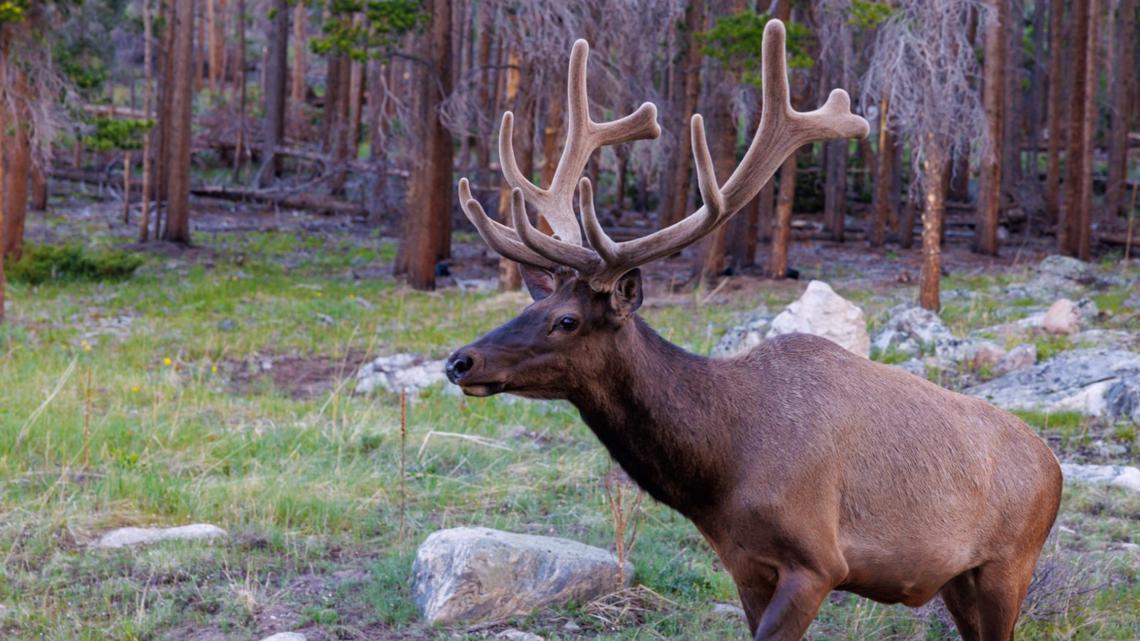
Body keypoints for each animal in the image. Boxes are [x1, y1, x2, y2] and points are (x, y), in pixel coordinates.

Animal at [445, 21, 1062, 641]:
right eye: (534, 305)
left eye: (566, 320)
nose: (459, 361)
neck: (719, 470)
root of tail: (1054, 468)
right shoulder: (744, 564)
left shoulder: (818, 561)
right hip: (960, 580)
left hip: (1008, 564)